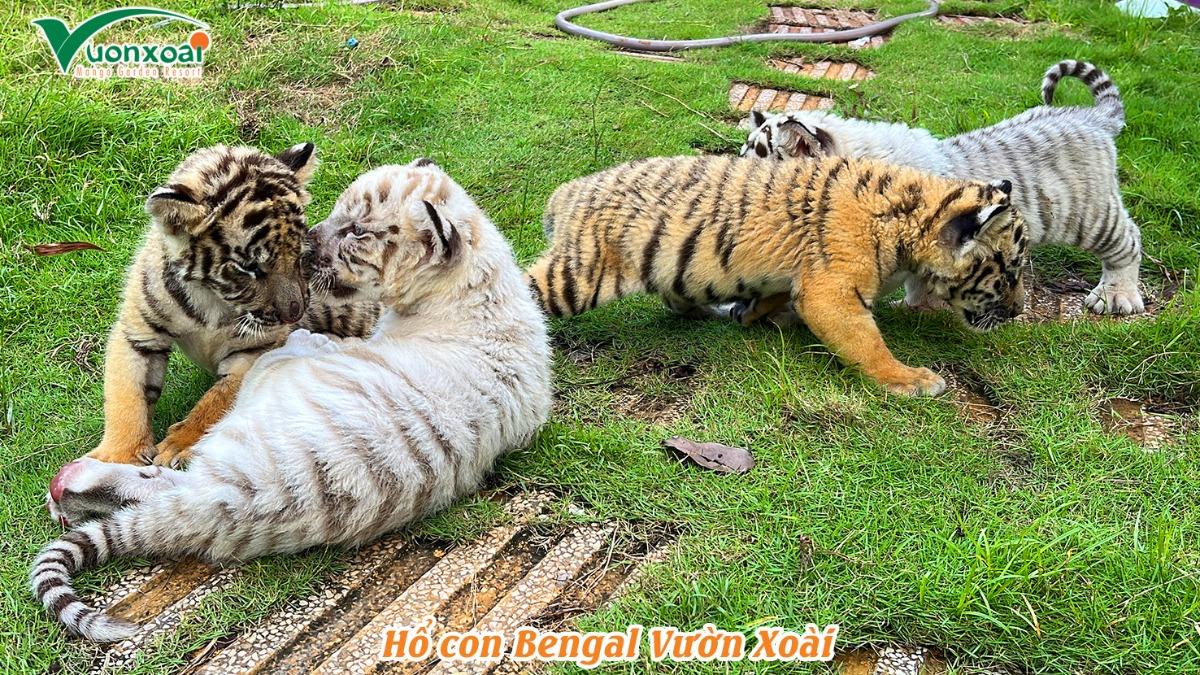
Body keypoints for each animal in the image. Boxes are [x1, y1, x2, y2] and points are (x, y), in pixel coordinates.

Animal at [84, 143, 377, 472]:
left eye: (301, 255)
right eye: (249, 267)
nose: (294, 314)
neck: (213, 298)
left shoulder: (254, 350)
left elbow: (219, 399)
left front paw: (178, 444)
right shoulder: (138, 333)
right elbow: (126, 396)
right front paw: (119, 455)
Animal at [527, 154, 1028, 396]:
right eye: (1009, 271)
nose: (1020, 312)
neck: (916, 216)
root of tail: (567, 193)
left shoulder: (795, 278)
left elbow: (774, 295)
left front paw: (752, 314)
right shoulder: (832, 289)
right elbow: (867, 343)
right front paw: (911, 380)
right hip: (582, 273)